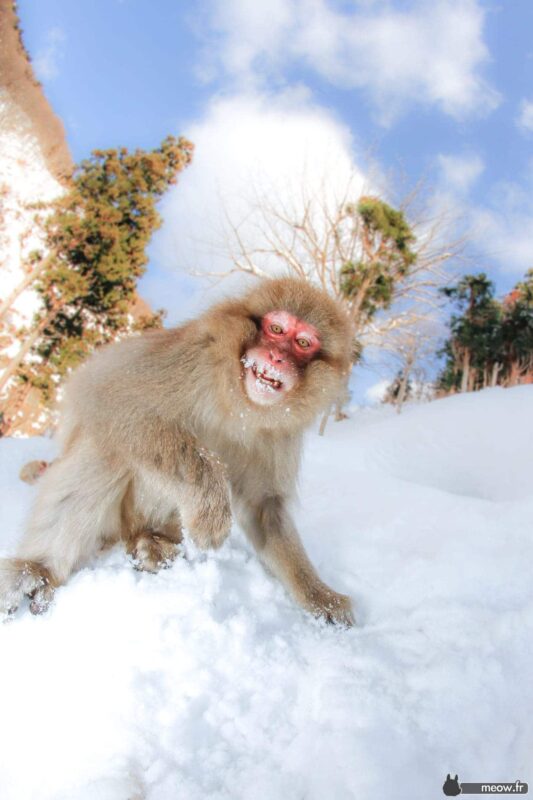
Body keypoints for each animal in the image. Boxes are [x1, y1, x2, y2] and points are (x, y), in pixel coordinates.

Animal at [0, 278, 354, 625]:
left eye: (303, 343)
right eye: (277, 329)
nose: (277, 357)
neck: (240, 404)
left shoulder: (280, 435)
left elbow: (263, 506)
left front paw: (318, 595)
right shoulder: (194, 357)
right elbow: (113, 394)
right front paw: (211, 505)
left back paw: (154, 545)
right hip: (114, 520)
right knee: (107, 447)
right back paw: (39, 569)